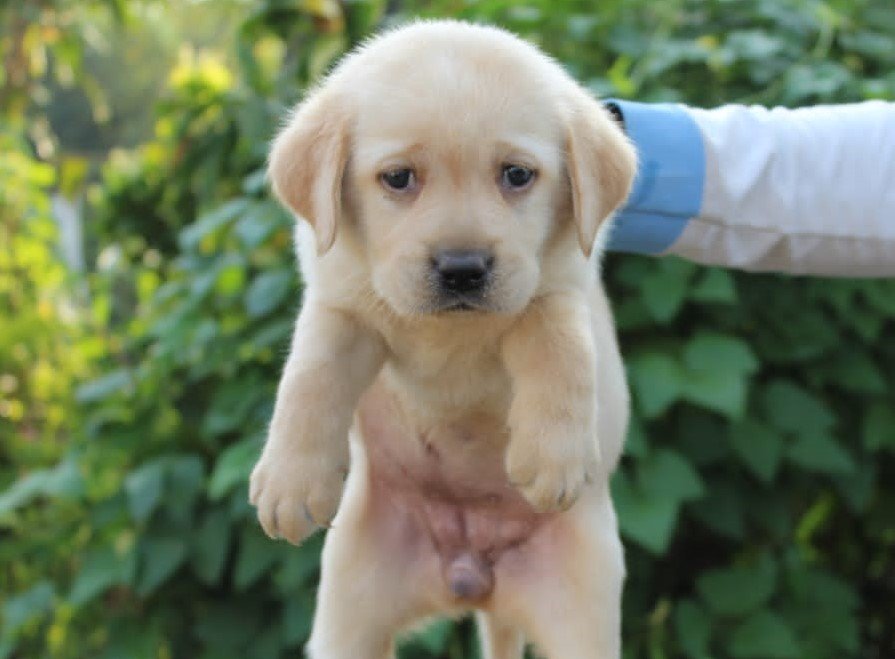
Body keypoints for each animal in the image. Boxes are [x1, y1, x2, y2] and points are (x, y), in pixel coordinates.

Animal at [250, 19, 636, 659]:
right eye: (399, 179)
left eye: (517, 175)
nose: (462, 269)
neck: (448, 332)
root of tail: (474, 579)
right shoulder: (341, 308)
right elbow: (309, 378)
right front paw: (291, 478)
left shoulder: (559, 285)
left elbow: (560, 348)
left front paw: (553, 455)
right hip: (347, 617)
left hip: (584, 616)